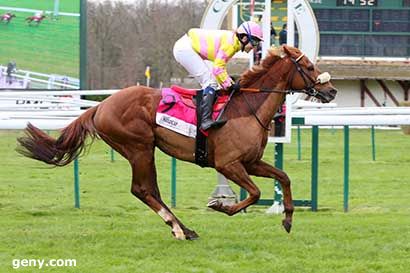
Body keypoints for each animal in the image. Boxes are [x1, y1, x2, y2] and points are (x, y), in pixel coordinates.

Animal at [16, 45, 336, 239]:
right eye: (308, 66)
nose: (331, 91)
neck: (248, 108)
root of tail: (101, 106)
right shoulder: (229, 164)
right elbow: (256, 193)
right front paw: (219, 206)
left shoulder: (251, 162)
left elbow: (284, 177)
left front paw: (288, 219)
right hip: (139, 147)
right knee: (142, 189)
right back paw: (181, 229)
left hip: (143, 150)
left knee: (151, 191)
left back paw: (184, 229)